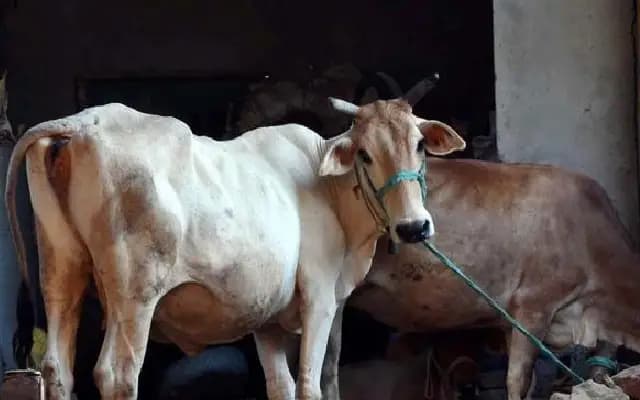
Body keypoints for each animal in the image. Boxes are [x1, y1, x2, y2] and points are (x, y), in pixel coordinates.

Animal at [4, 80, 465, 400]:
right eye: (365, 154)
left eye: (419, 144)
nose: (414, 227)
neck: (327, 187)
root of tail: (84, 122)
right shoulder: (319, 298)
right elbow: (311, 384)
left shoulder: (267, 320)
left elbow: (281, 386)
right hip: (135, 295)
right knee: (117, 374)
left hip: (61, 272)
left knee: (57, 370)